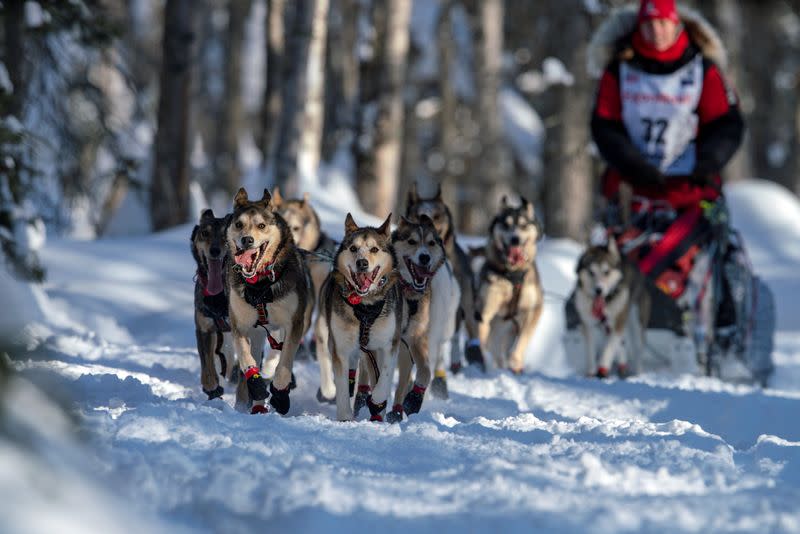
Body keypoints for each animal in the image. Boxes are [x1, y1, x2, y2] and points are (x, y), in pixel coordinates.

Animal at [227, 191, 314, 416]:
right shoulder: (239, 325)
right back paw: (254, 404)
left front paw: (280, 396)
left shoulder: (294, 325)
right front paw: (256, 386)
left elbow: (283, 366)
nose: (247, 240)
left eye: (261, 225)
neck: (261, 284)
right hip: (256, 333)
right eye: (238, 224)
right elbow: (246, 360)